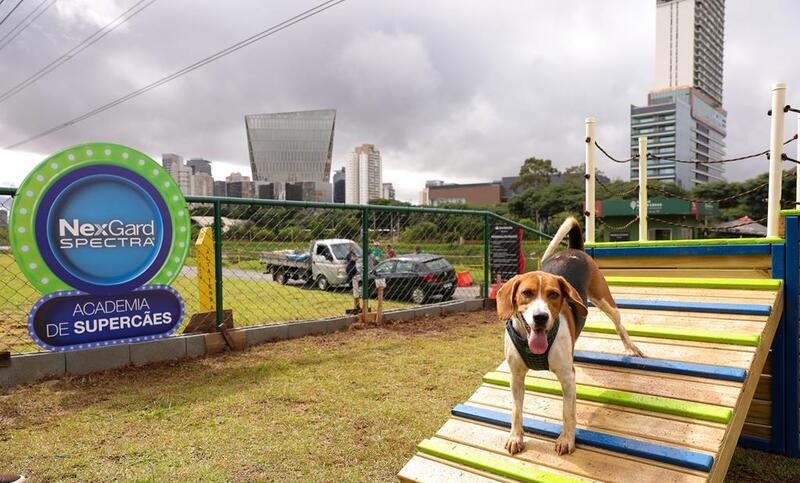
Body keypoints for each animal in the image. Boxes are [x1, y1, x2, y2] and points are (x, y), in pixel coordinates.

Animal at [496, 217, 640, 456]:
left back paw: (631, 348)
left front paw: (567, 439)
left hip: (605, 300)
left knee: (619, 324)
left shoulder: (567, 377)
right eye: (526, 293)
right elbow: (516, 411)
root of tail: (573, 250)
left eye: (554, 294)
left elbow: (568, 412)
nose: (541, 317)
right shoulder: (516, 377)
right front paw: (516, 437)